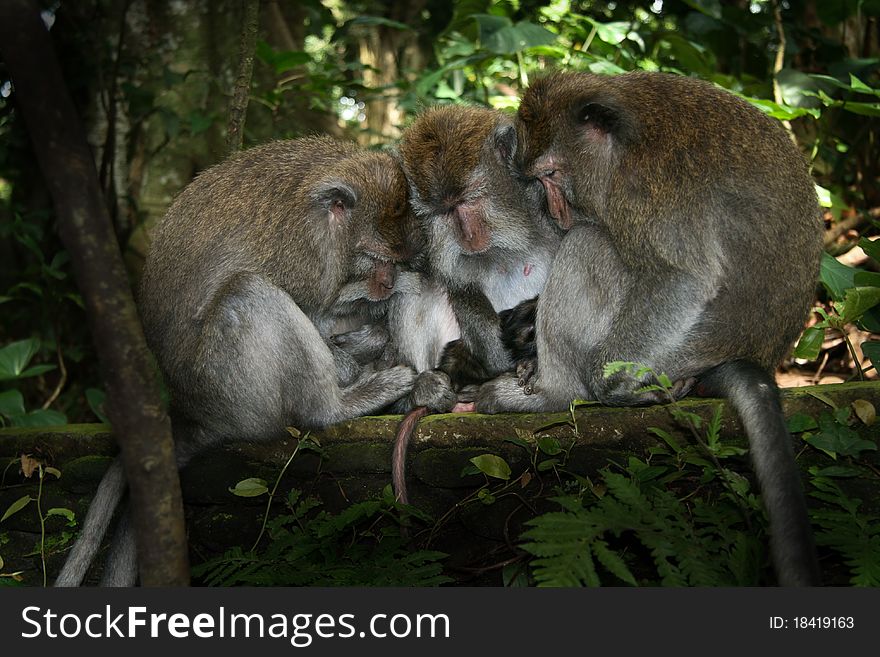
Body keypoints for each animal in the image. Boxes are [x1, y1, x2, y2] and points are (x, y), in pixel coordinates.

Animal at [54, 137, 420, 584]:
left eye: (398, 259)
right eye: (375, 256)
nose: (387, 283)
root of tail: (198, 415)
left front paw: (374, 332)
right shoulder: (304, 256)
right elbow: (311, 309)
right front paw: (358, 352)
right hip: (233, 390)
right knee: (246, 292)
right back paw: (336, 405)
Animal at [474, 70, 824, 584]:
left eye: (552, 175)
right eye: (538, 180)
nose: (557, 213)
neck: (620, 145)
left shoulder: (646, 189)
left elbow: (681, 277)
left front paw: (606, 385)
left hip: (671, 357)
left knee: (590, 243)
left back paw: (554, 392)